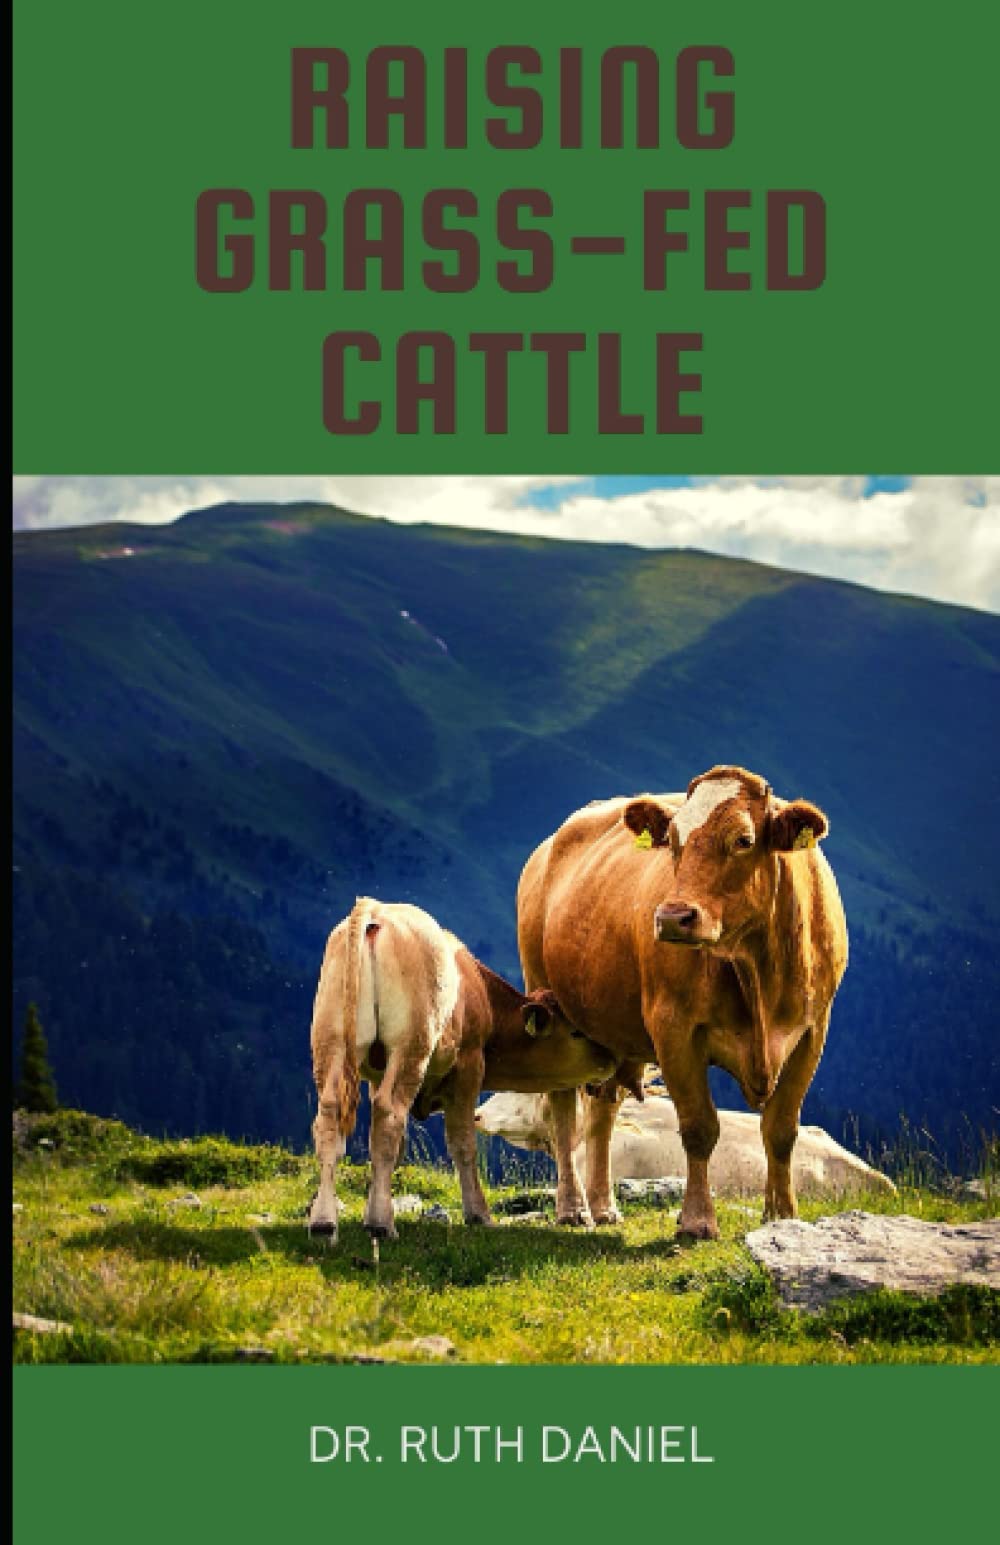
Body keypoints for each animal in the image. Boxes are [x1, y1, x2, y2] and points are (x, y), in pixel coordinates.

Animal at [308, 897, 615, 1243]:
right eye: (577, 1032)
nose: (612, 1057)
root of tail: (376, 911)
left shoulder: (376, 1074)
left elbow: (394, 1148)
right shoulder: (469, 1066)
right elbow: (463, 1142)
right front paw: (478, 1213)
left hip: (330, 1041)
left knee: (330, 1117)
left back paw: (323, 1222)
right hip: (410, 1046)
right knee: (388, 1115)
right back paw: (381, 1225)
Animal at [517, 766, 849, 1239]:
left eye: (743, 839)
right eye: (673, 840)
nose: (673, 917)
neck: (757, 971)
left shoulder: (812, 1030)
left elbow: (782, 1128)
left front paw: (782, 1216)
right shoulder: (674, 1027)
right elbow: (698, 1127)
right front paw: (696, 1220)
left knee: (602, 1111)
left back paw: (603, 1205)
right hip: (547, 1000)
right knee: (562, 1110)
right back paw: (573, 1208)